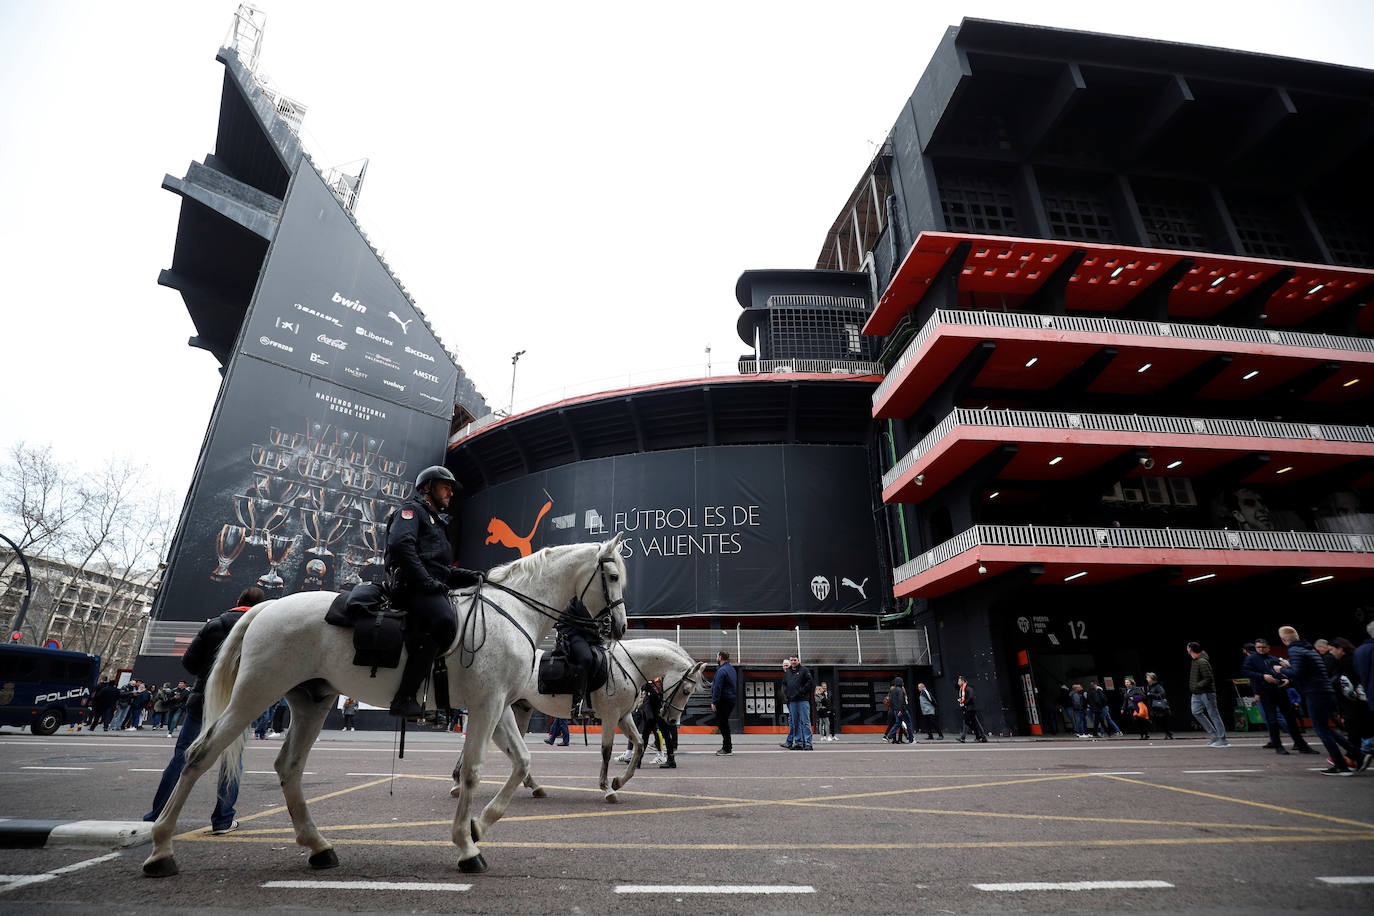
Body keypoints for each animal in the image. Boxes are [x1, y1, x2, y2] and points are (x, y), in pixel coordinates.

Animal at [140, 532, 629, 878]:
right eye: (613, 576)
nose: (621, 627)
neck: (510, 612)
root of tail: (265, 609)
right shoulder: (487, 704)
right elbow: (473, 772)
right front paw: (467, 845)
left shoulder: (502, 706)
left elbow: (523, 761)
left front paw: (479, 825)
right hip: (256, 692)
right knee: (200, 753)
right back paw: (161, 848)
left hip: (312, 702)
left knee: (289, 767)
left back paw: (318, 846)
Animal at [453, 637, 708, 802]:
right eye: (686, 690)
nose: (672, 720)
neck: (627, 666)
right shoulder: (611, 716)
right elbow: (606, 751)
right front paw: (607, 789)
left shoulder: (624, 716)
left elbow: (639, 744)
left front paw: (619, 781)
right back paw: (458, 781)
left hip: (521, 709)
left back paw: (533, 786)